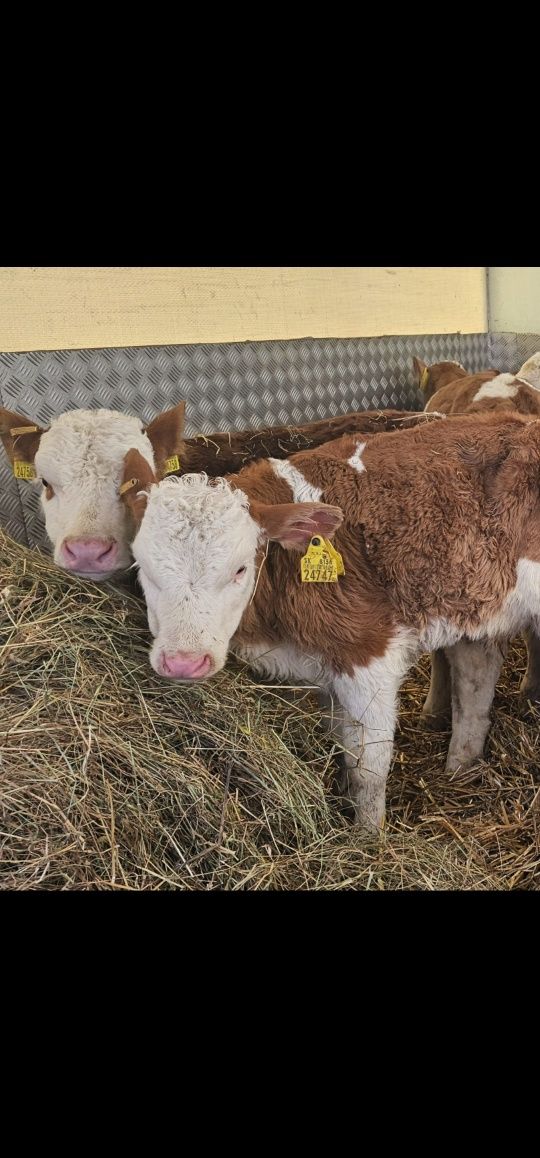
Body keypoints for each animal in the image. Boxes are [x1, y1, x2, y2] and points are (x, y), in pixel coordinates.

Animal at [119, 412, 540, 829]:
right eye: (141, 565)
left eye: (239, 569)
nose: (184, 663)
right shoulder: (325, 669)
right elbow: (341, 747)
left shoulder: (368, 659)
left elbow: (369, 769)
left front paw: (369, 835)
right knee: (476, 684)